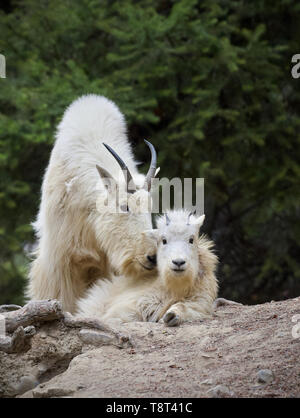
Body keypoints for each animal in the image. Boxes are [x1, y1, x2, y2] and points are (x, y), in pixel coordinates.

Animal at [76, 211, 219, 324]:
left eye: (191, 239)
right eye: (163, 240)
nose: (178, 262)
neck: (175, 286)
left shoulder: (200, 302)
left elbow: (186, 307)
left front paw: (172, 315)